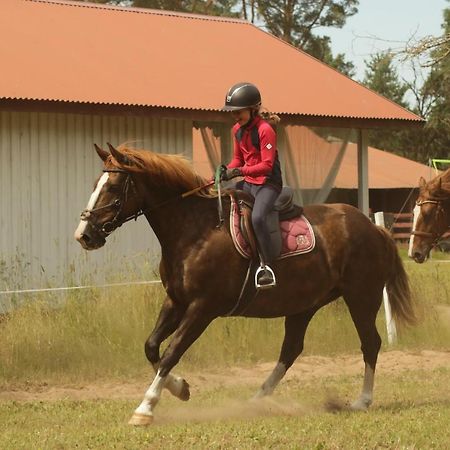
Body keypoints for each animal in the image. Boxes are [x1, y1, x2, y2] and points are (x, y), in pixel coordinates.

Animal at [73, 143, 414, 426]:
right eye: (95, 185)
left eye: (113, 187)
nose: (84, 235)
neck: (194, 230)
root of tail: (372, 227)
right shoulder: (176, 301)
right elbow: (152, 347)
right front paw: (180, 388)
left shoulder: (202, 308)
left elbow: (171, 352)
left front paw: (145, 408)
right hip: (304, 304)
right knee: (291, 350)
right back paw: (257, 400)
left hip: (362, 297)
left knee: (370, 343)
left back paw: (362, 400)